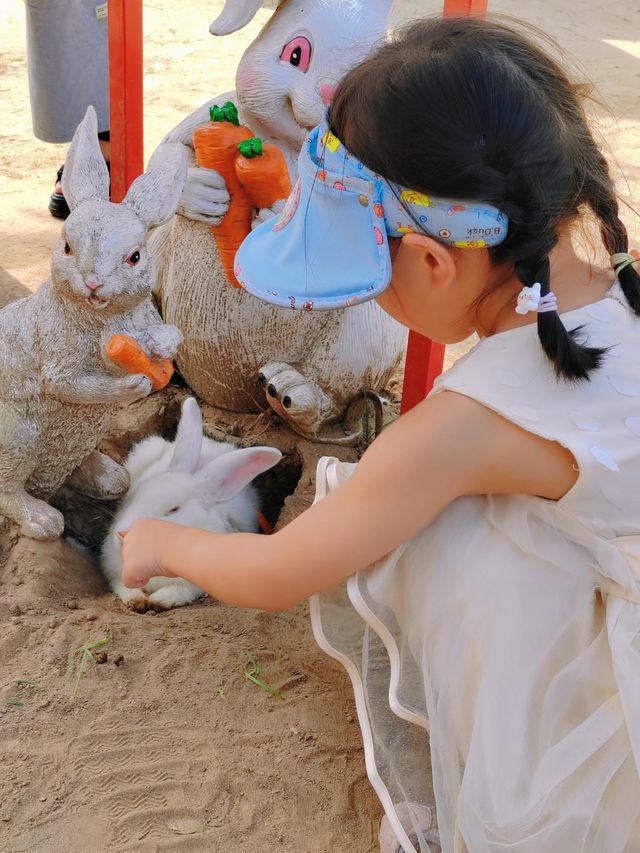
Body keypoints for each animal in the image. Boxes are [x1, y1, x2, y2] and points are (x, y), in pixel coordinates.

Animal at [0, 108, 186, 540]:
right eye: (68, 247)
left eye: (135, 257)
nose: (94, 283)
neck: (103, 318)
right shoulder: (59, 363)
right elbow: (69, 384)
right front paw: (136, 384)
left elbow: (170, 335)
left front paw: (161, 348)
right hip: (16, 437)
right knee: (8, 491)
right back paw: (45, 520)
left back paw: (109, 477)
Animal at [100, 396, 280, 608]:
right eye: (135, 495)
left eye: (174, 509)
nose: (123, 535)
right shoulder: (114, 571)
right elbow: (123, 586)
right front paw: (137, 600)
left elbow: (180, 592)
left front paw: (158, 600)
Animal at [149, 5, 404, 446]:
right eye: (295, 53)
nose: (330, 94)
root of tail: (239, 400)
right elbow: (164, 158)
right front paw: (205, 195)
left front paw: (276, 217)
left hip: (364, 337)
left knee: (326, 398)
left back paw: (289, 394)